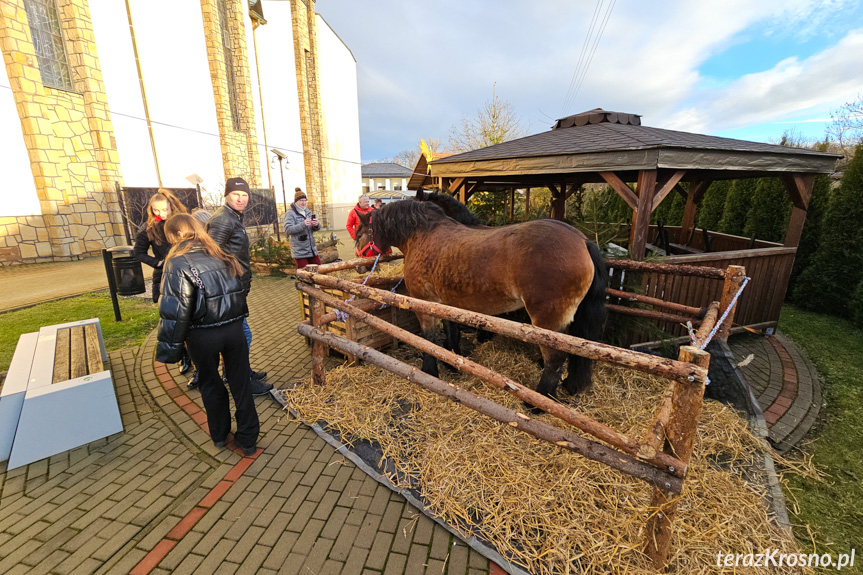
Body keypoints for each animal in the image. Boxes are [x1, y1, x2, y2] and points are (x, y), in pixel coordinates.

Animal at [372, 200, 608, 402]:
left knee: (555, 359)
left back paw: (538, 401)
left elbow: (428, 338)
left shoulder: (425, 303)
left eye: (370, 228)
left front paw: (430, 371)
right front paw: (452, 360)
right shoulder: (445, 303)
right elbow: (451, 332)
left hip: (547, 323)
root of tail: (583, 241)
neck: (423, 235)